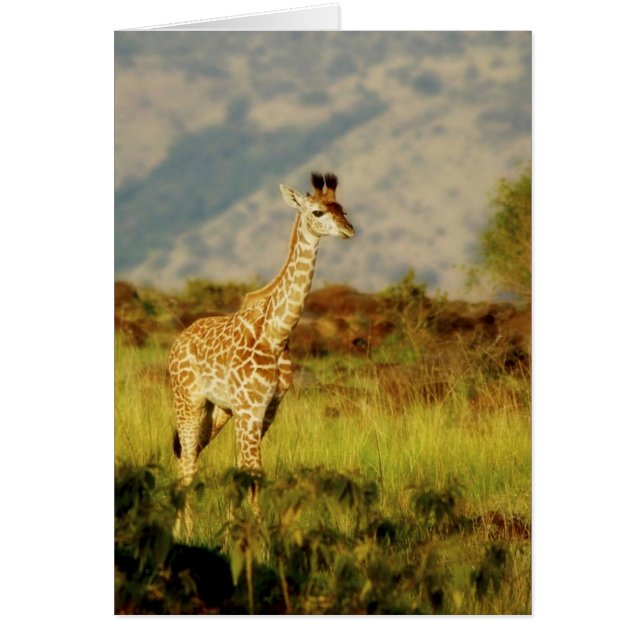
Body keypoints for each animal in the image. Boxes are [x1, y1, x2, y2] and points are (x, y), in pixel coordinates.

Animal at [168, 172, 354, 533]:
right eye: (317, 212)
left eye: (342, 209)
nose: (349, 230)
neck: (277, 333)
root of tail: (177, 342)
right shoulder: (250, 408)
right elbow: (254, 471)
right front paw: (260, 538)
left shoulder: (267, 409)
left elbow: (243, 469)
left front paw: (235, 530)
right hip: (188, 401)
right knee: (187, 464)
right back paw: (188, 533)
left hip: (217, 410)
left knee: (187, 455)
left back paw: (179, 529)